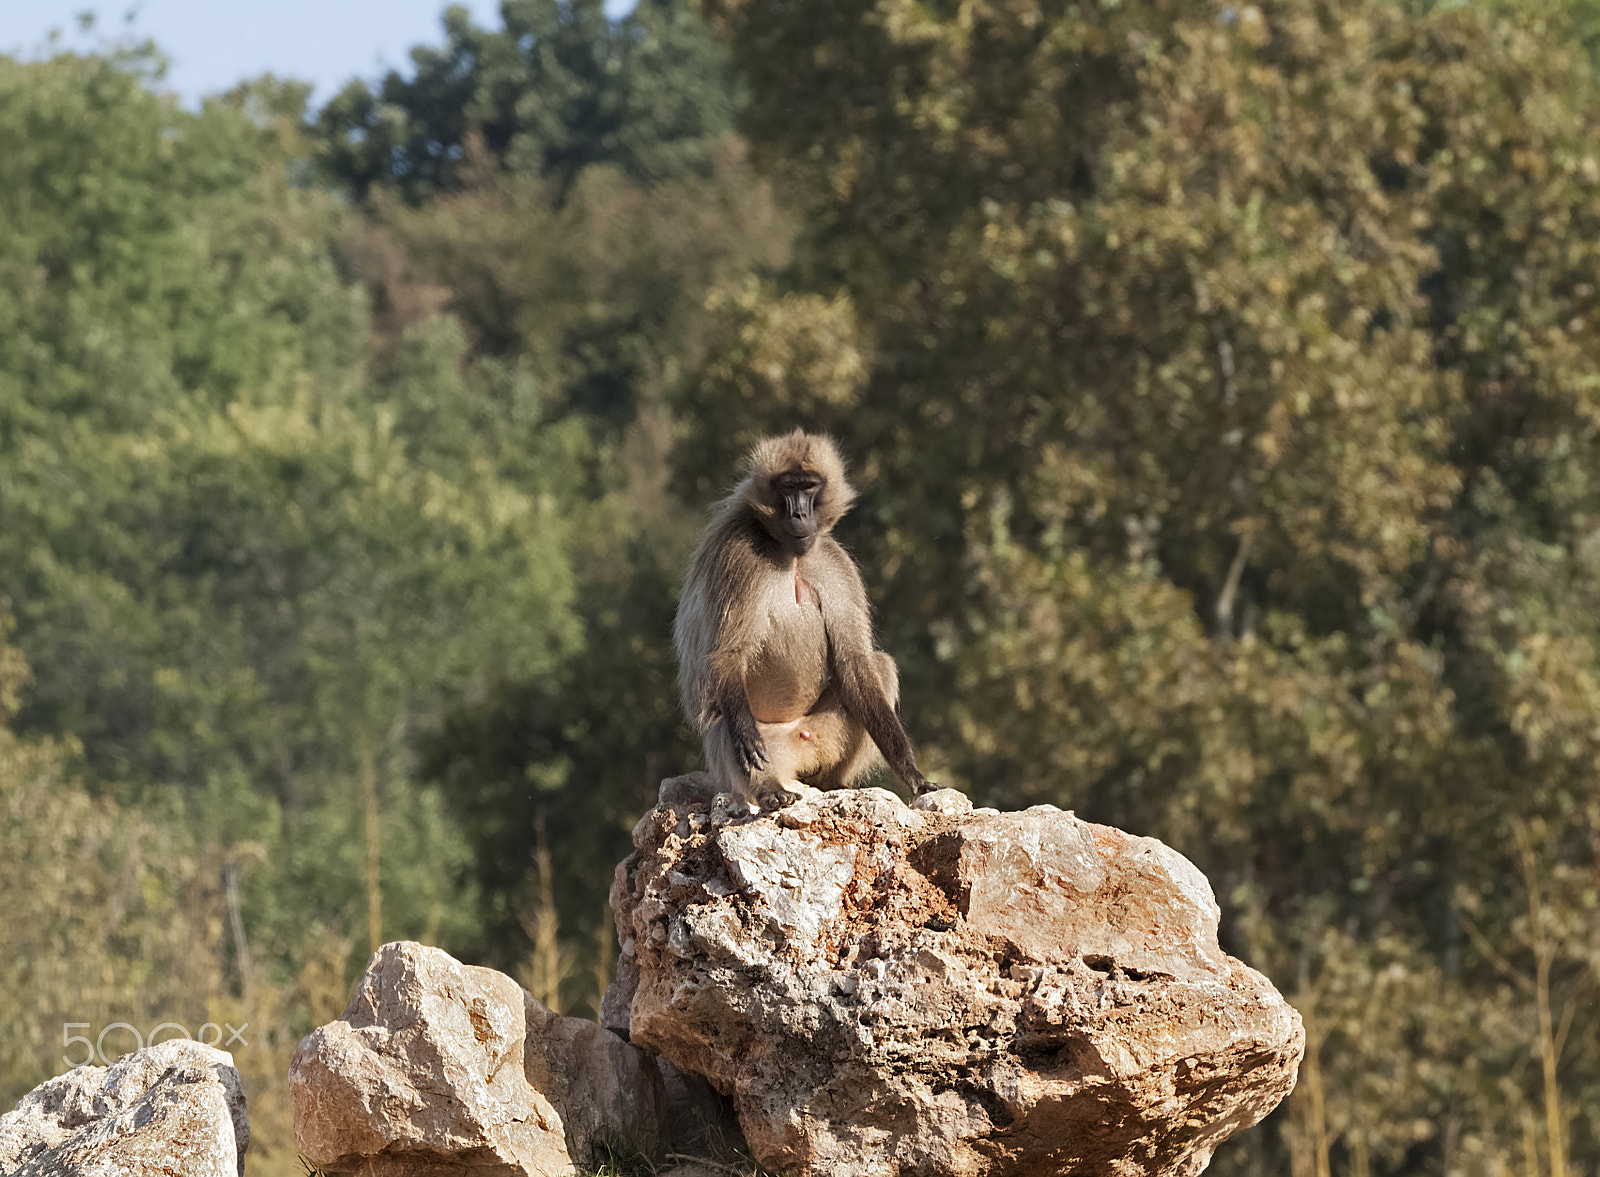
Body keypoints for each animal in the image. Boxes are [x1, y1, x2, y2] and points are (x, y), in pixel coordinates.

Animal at [674, 429, 934, 811]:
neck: (790, 554)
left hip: (823, 733)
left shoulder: (832, 561)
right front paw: (745, 735)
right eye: (788, 486)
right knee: (724, 723)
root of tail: (797, 736)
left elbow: (854, 661)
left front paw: (912, 773)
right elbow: (728, 654)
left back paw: (831, 783)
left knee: (879, 667)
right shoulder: (740, 556)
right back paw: (770, 789)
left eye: (809, 486)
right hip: (766, 750)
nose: (799, 513)